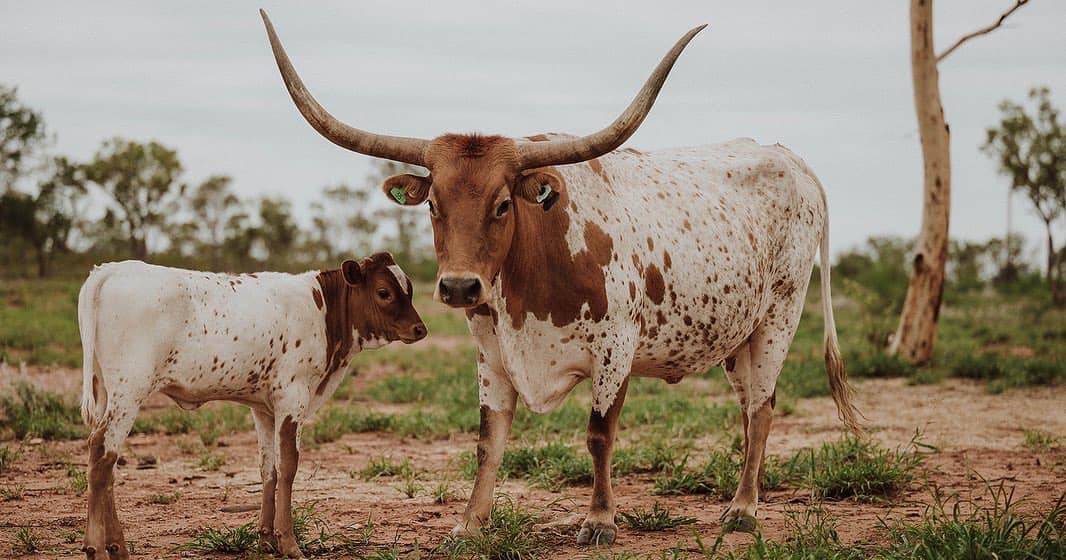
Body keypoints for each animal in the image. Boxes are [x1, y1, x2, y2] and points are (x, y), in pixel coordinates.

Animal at [77, 253, 424, 558]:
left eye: (409, 289)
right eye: (384, 292)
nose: (420, 329)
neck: (322, 309)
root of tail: (110, 270)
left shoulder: (263, 409)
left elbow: (268, 470)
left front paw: (266, 540)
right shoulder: (293, 398)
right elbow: (288, 468)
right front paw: (288, 542)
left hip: (106, 391)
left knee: (107, 463)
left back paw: (117, 546)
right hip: (129, 391)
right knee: (101, 455)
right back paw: (96, 547)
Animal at [262, 9, 861, 546]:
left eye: (503, 204)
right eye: (433, 204)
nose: (459, 287)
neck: (534, 270)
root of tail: (790, 158)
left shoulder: (616, 351)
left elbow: (599, 435)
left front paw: (599, 520)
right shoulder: (492, 352)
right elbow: (489, 440)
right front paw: (470, 522)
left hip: (779, 319)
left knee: (762, 410)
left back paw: (742, 510)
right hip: (736, 337)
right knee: (748, 407)